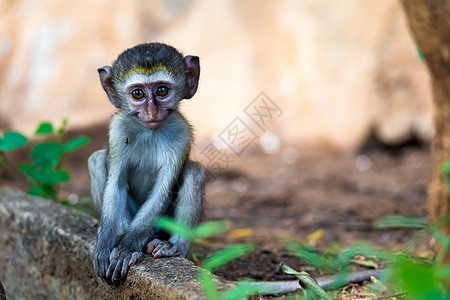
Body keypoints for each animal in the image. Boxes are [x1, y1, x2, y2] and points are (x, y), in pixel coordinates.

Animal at [88, 41, 204, 284]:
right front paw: (105, 246)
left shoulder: (182, 133)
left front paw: (127, 247)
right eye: (138, 93)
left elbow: (163, 190)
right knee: (96, 159)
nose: (152, 112)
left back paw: (173, 246)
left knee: (194, 172)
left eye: (162, 91)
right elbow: (115, 184)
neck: (149, 132)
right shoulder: (117, 129)